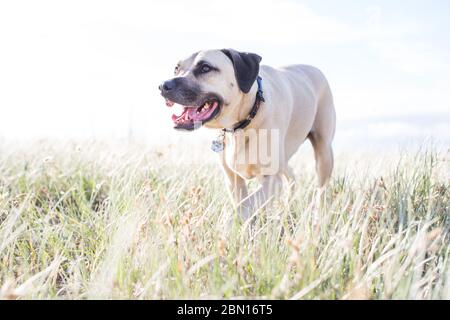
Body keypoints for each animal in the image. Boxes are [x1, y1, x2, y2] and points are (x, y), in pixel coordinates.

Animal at [160, 48, 336, 220]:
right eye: (176, 68)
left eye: (205, 68)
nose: (163, 86)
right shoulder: (233, 180)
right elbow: (243, 205)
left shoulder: (271, 180)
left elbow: (245, 208)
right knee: (291, 177)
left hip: (324, 154)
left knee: (321, 189)